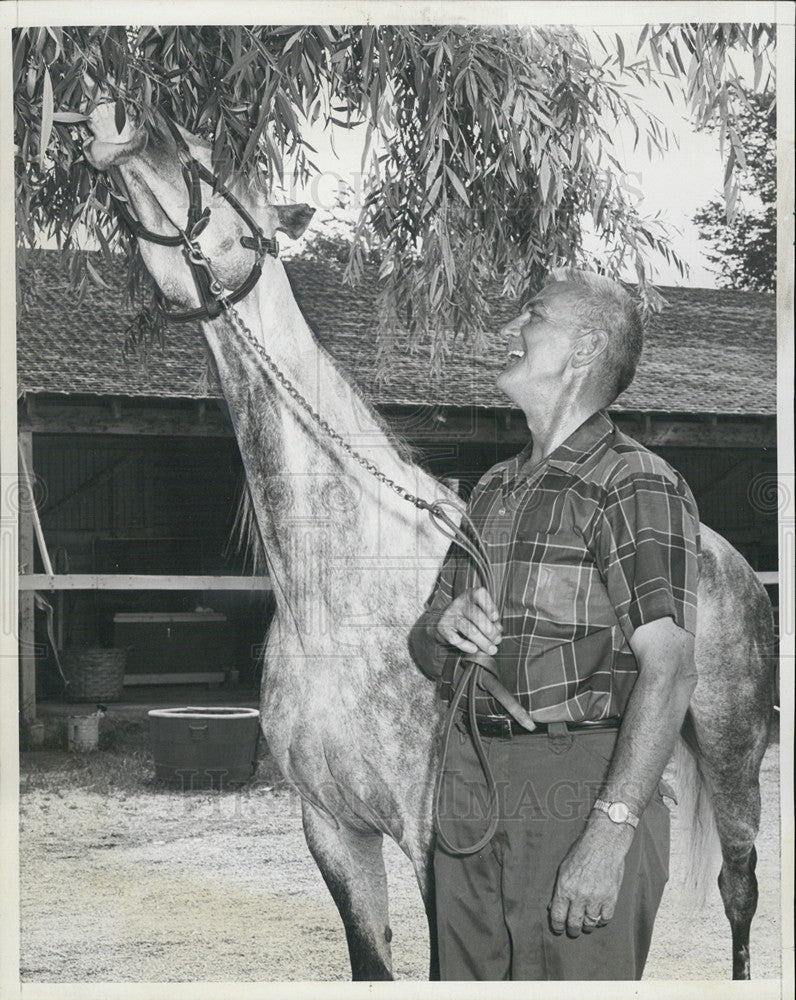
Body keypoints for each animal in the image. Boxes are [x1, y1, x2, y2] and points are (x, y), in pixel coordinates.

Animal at [84, 105, 776, 980]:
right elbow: (370, 962)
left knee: (739, 891)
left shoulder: (429, 839)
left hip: (731, 751)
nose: (123, 123)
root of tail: (727, 559)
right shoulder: (333, 831)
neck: (337, 593)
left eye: (229, 171)